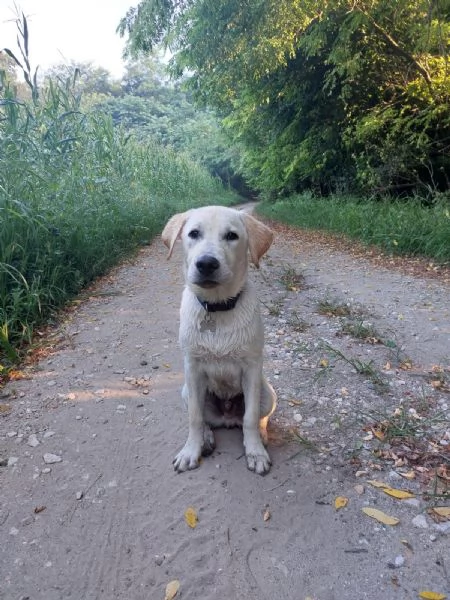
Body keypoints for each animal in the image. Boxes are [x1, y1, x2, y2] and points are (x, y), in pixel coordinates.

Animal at [160, 204, 276, 476]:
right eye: (193, 233)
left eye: (232, 236)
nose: (206, 263)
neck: (217, 308)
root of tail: (227, 417)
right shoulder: (192, 368)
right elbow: (194, 417)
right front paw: (191, 451)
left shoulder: (252, 368)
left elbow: (250, 418)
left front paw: (255, 452)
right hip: (186, 390)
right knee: (204, 419)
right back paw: (206, 439)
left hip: (268, 393)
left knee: (257, 417)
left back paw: (262, 436)